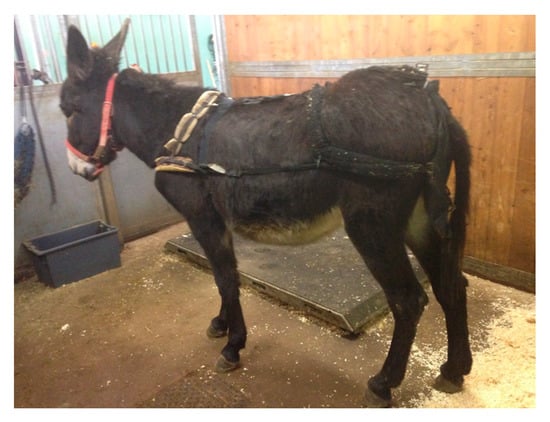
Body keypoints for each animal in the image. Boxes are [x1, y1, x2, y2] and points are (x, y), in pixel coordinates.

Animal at [60, 19, 472, 407]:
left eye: (68, 109)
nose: (76, 168)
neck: (177, 128)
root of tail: (431, 101)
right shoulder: (217, 221)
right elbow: (223, 276)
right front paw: (221, 324)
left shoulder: (202, 217)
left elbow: (226, 279)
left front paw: (232, 347)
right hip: (417, 218)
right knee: (450, 283)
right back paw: (453, 371)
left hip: (372, 224)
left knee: (408, 300)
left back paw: (383, 384)